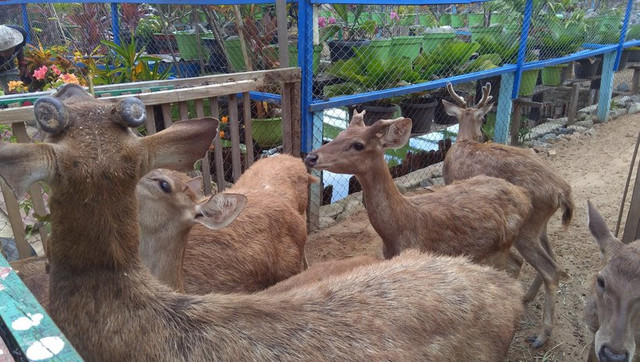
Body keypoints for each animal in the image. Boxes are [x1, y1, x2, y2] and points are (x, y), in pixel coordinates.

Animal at [302, 110, 532, 274]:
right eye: (340, 134)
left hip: (503, 244)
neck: (396, 234)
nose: (311, 157)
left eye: (358, 145)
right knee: (518, 262)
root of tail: (524, 197)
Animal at [440, 81, 576, 348]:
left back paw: (541, 335)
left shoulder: (452, 182)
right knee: (553, 256)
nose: (484, 136)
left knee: (551, 269)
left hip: (527, 228)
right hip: (540, 223)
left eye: (484, 118)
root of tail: (561, 191)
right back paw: (527, 296)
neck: (463, 142)